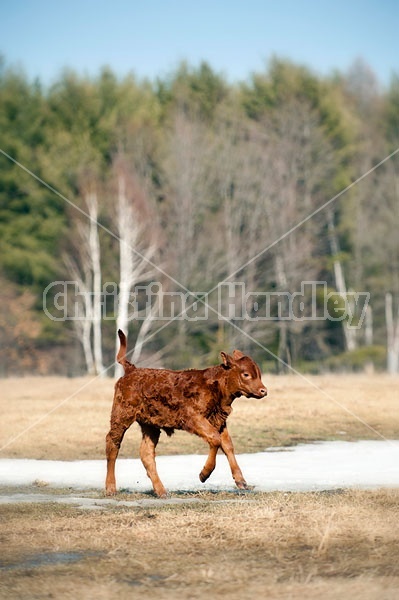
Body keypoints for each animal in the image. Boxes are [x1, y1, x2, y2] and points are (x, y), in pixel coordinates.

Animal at [106, 328, 268, 496]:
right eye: (246, 374)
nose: (263, 390)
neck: (215, 386)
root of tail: (132, 370)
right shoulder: (194, 418)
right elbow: (215, 439)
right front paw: (204, 474)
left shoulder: (219, 421)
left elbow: (227, 445)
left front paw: (241, 481)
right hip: (121, 416)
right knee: (113, 444)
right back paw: (111, 488)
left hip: (150, 425)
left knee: (146, 453)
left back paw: (161, 491)